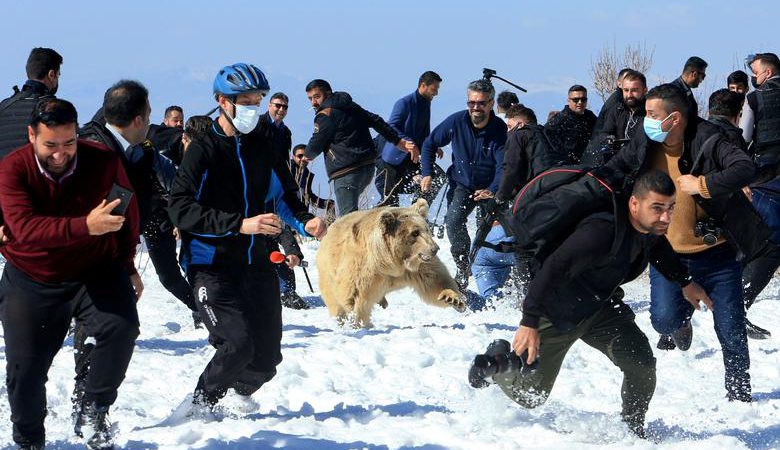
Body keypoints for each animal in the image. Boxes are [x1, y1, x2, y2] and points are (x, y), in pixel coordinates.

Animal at [316, 199, 466, 328]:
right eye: (415, 232)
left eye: (427, 229)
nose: (434, 249)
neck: (392, 263)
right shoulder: (364, 268)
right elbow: (354, 296)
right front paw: (360, 322)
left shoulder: (418, 268)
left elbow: (435, 281)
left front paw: (453, 299)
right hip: (327, 272)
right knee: (334, 301)